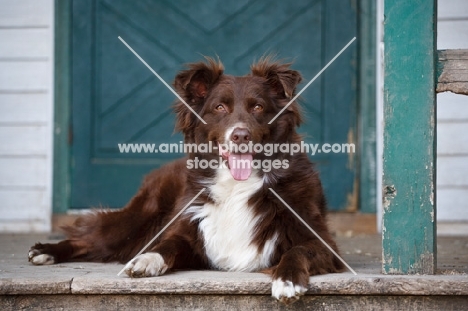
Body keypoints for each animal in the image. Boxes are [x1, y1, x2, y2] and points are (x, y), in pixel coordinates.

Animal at [29, 57, 344, 304]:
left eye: (257, 107)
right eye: (219, 108)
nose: (240, 135)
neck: (236, 186)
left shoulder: (324, 243)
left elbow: (297, 250)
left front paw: (287, 280)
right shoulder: (192, 234)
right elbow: (168, 245)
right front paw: (147, 259)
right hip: (138, 220)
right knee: (89, 238)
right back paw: (46, 251)